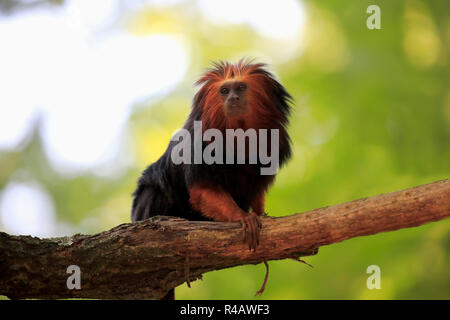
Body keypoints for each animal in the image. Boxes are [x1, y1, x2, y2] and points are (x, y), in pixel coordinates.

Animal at [131, 59, 292, 300]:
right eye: (224, 91)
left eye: (240, 88)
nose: (232, 98)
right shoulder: (199, 144)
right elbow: (202, 190)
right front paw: (243, 217)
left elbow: (256, 190)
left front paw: (260, 214)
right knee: (154, 191)